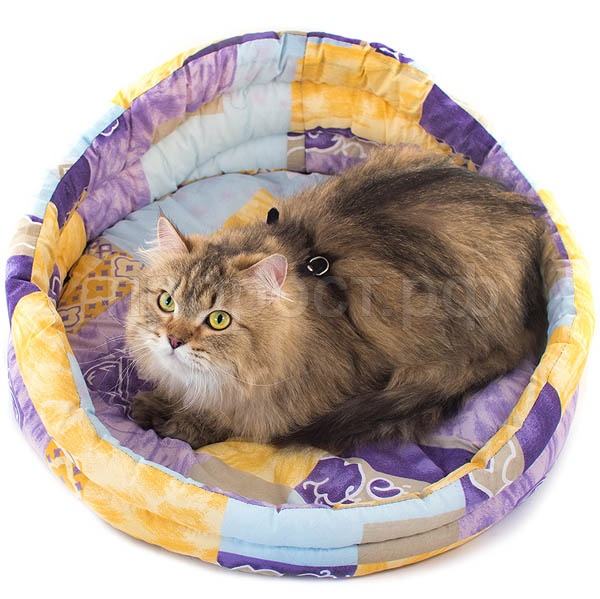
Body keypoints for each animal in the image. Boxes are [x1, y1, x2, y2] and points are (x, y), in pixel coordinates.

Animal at [126, 145, 547, 453]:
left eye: (218, 320)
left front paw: (175, 423)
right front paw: (154, 405)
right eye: (167, 303)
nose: (174, 340)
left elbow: (224, 422)